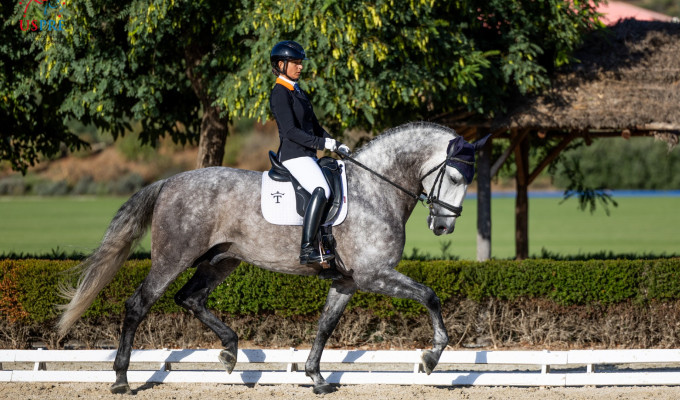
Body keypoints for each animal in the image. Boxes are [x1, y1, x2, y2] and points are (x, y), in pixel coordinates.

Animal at [57, 121, 486, 395]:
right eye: (456, 178)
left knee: (190, 298)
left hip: (222, 260)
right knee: (138, 305)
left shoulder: (347, 281)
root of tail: (168, 182)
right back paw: (121, 380)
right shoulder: (373, 274)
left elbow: (325, 327)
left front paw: (316, 378)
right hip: (173, 259)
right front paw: (431, 357)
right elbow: (429, 295)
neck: (376, 189)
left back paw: (229, 352)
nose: (443, 226)